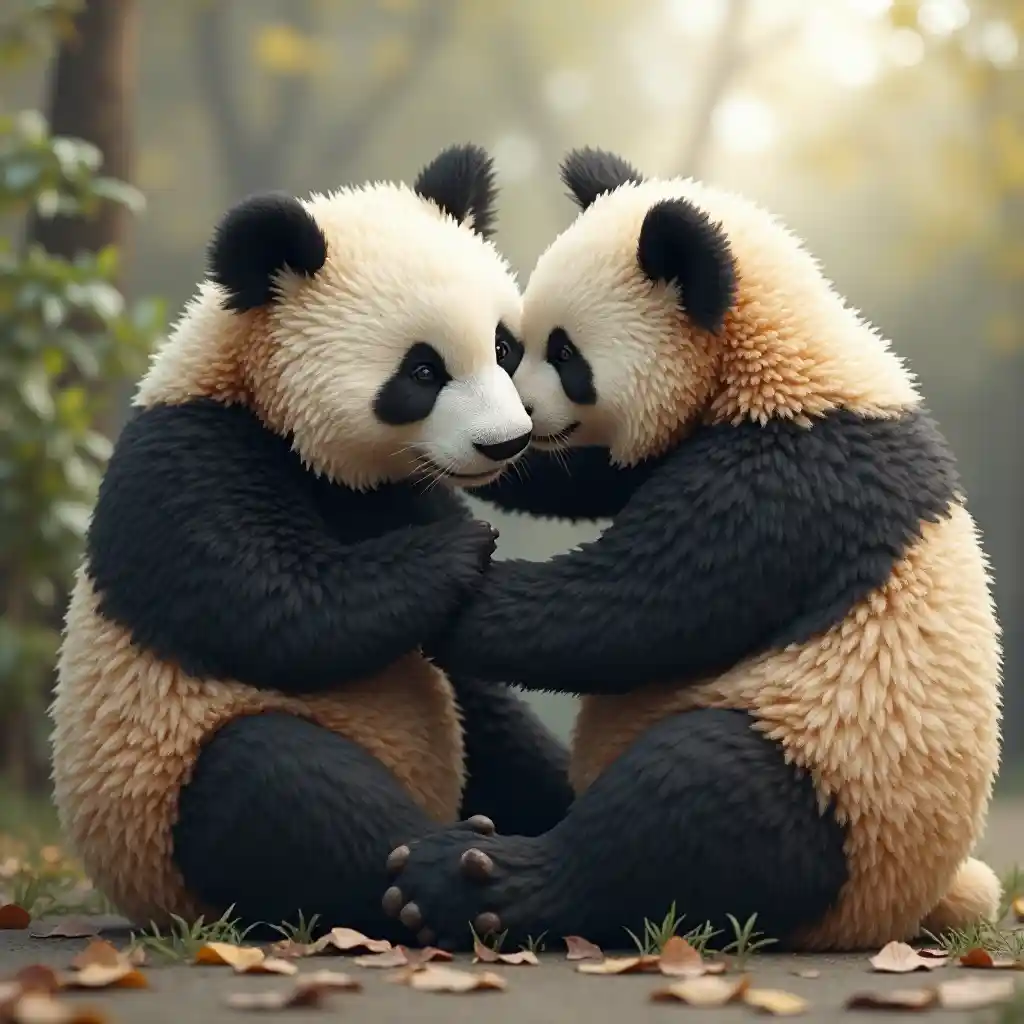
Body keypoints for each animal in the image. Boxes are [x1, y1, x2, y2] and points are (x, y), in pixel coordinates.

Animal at [49, 143, 575, 939]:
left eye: (504, 347)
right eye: (422, 371)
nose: (504, 442)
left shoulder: (400, 485)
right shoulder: (196, 453)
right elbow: (268, 600)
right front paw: (457, 551)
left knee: (494, 727)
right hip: (164, 806)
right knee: (279, 788)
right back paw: (435, 868)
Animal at [381, 147, 1004, 953]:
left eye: (564, 352)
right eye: (512, 345)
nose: (519, 424)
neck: (781, 353)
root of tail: (903, 912)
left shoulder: (793, 480)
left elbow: (639, 605)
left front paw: (451, 594)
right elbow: (593, 478)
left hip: (841, 783)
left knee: (691, 803)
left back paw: (467, 878)